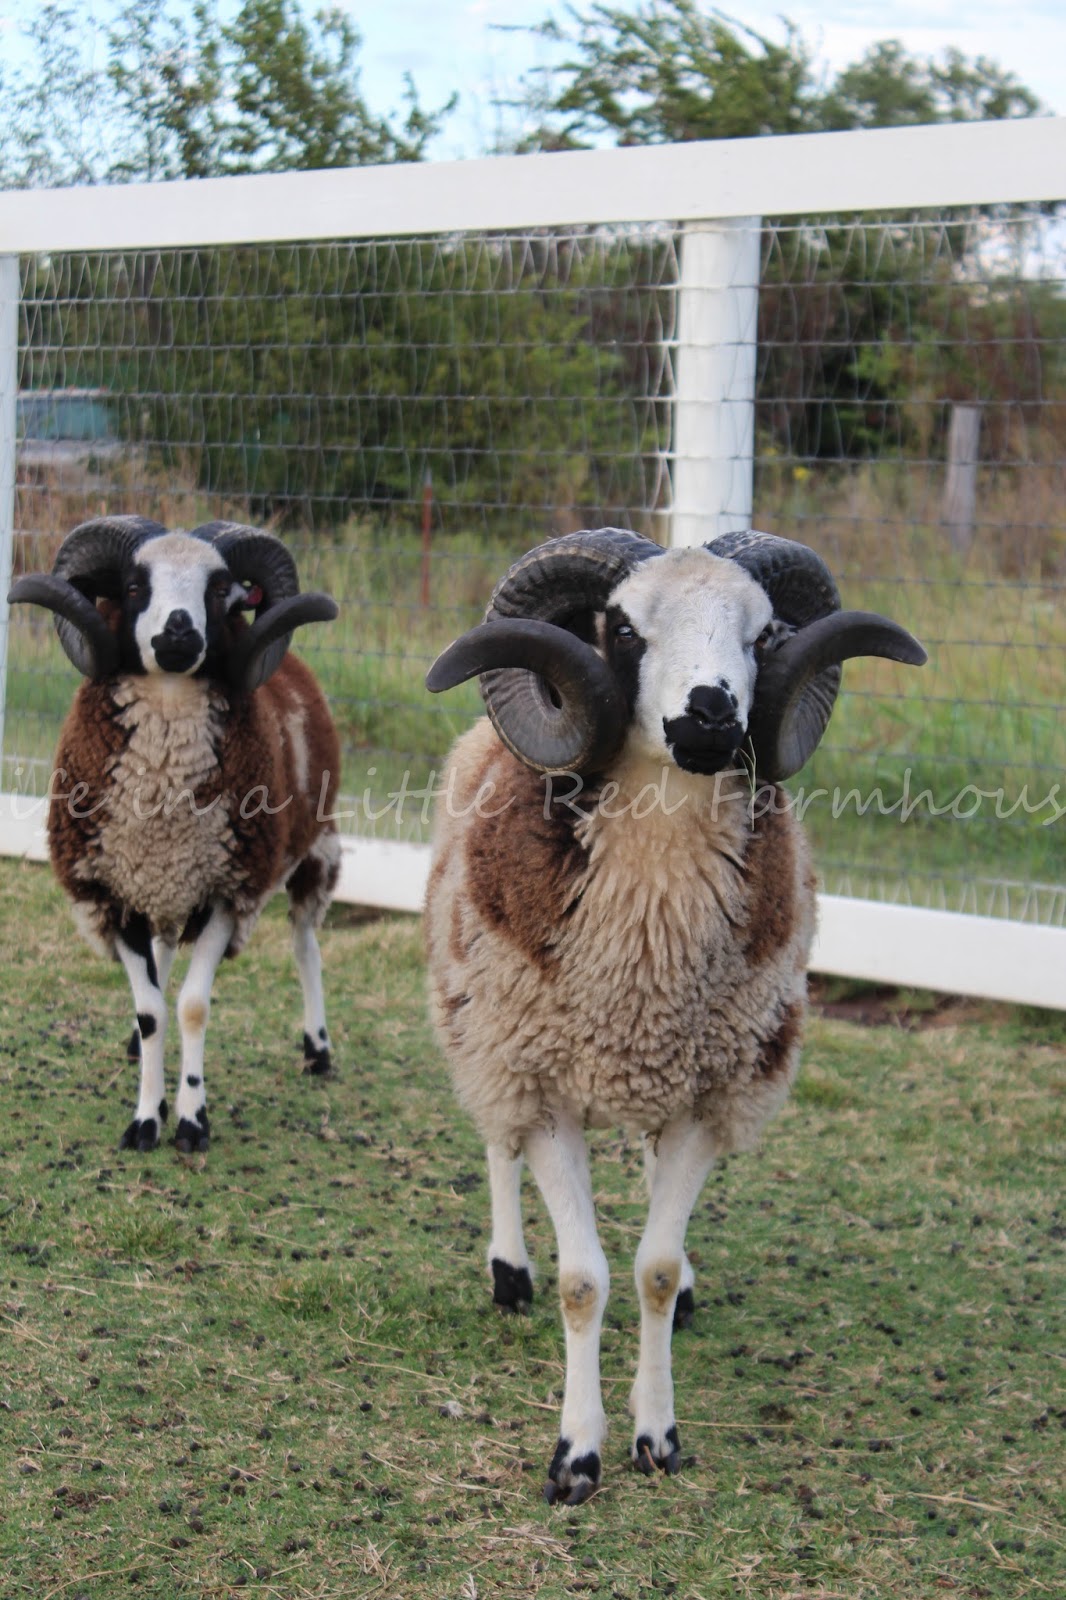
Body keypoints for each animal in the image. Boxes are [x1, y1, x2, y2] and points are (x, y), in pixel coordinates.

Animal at [8, 514, 342, 1154]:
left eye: (220, 590)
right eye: (135, 587)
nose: (180, 632)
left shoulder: (227, 893)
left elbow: (190, 1008)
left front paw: (191, 1121)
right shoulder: (116, 894)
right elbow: (153, 1013)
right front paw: (145, 1118)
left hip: (315, 848)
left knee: (306, 943)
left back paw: (318, 1049)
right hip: (161, 892)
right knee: (164, 955)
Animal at [423, 527, 925, 1504]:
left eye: (764, 634)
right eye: (622, 627)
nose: (711, 716)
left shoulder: (711, 1093)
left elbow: (650, 1270)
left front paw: (657, 1434)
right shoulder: (545, 1087)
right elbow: (585, 1281)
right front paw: (576, 1457)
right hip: (483, 1024)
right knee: (496, 1139)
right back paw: (508, 1270)